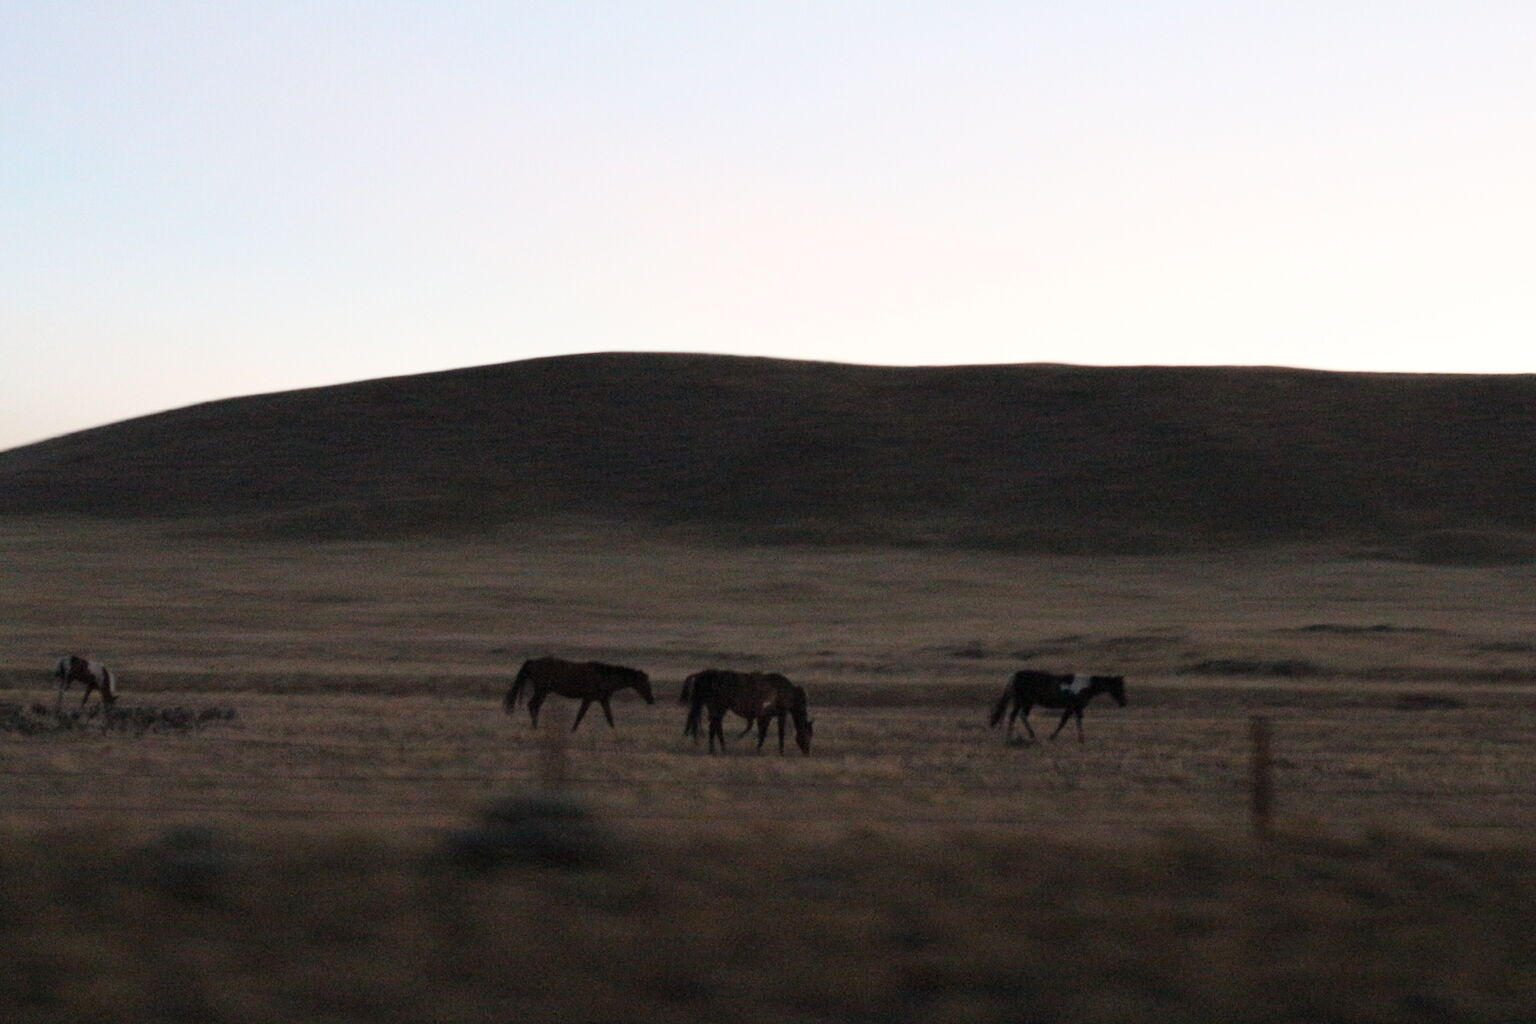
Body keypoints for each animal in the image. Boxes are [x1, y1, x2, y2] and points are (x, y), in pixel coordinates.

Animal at [500, 660, 651, 733]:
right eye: (644, 683)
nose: (651, 700)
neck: (604, 677)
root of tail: (532, 663)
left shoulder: (603, 700)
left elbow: (609, 718)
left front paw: (615, 732)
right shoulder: (588, 698)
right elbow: (580, 715)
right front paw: (573, 730)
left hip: (543, 691)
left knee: (534, 706)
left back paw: (535, 726)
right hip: (542, 690)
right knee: (532, 705)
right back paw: (535, 727)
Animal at [678, 669, 811, 758]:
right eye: (808, 734)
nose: (807, 752)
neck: (789, 692)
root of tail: (705, 674)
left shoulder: (766, 716)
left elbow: (763, 733)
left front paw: (758, 748)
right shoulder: (781, 714)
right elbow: (780, 733)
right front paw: (781, 752)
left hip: (716, 708)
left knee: (715, 726)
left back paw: (720, 749)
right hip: (719, 707)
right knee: (715, 726)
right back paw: (716, 749)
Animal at [989, 669, 1124, 739]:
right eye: (1118, 687)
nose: (1124, 702)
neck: (1085, 685)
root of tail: (1015, 676)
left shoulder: (1074, 708)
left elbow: (1071, 720)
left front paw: (1080, 738)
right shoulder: (1074, 707)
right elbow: (1065, 721)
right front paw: (1053, 736)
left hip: (1020, 702)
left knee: (1014, 715)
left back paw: (1010, 735)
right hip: (1026, 702)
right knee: (1021, 716)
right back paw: (1030, 734)